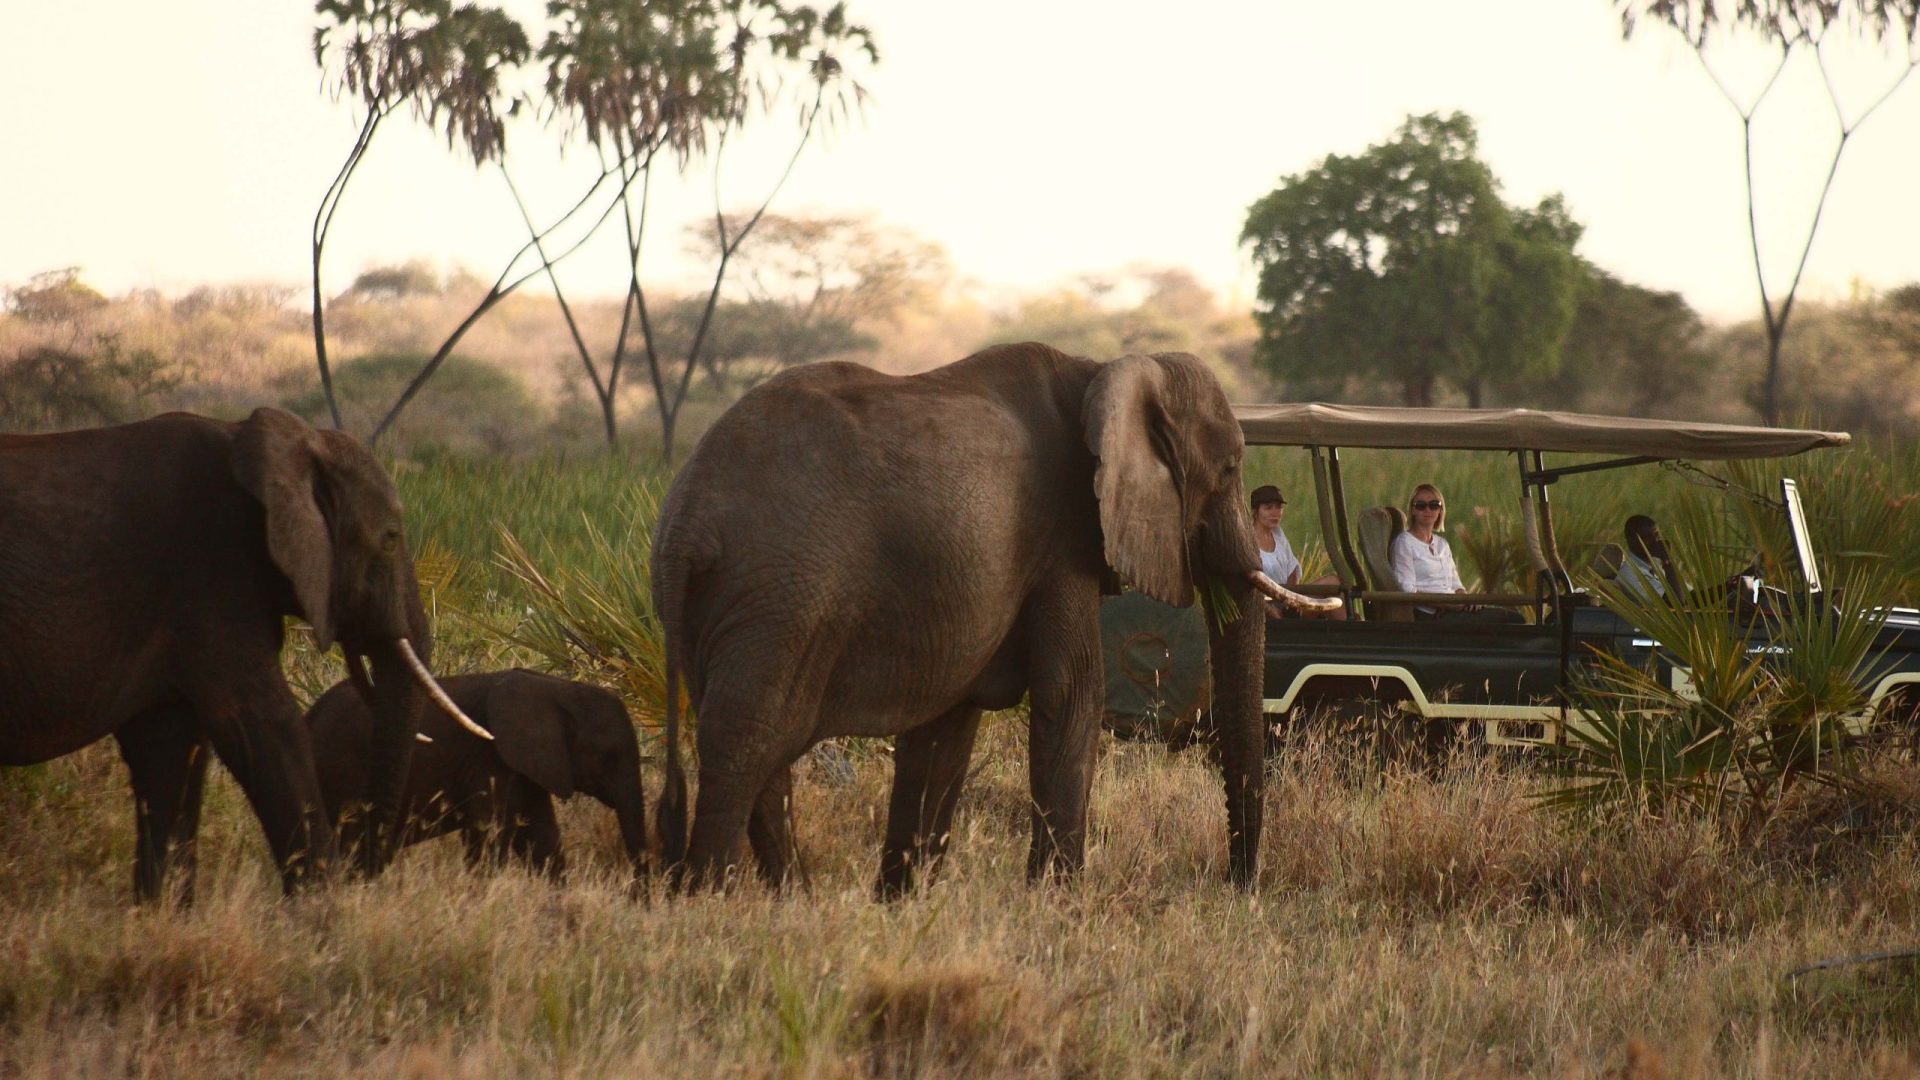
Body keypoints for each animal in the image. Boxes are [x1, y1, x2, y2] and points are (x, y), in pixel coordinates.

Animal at [0, 407, 486, 900]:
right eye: (389, 539)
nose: (363, 871)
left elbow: (169, 750)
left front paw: (162, 914)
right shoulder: (213, 576)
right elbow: (265, 730)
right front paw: (326, 915)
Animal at [304, 669, 649, 880]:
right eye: (609, 756)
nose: (641, 900)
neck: (557, 688)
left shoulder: (527, 765)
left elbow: (542, 838)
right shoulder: (490, 758)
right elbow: (488, 838)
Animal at [651, 342, 1318, 896]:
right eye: (1229, 471)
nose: (1236, 884)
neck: (1103, 370)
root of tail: (686, 519)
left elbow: (946, 729)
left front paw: (902, 905)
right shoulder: (1062, 535)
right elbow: (1072, 695)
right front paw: (1055, 907)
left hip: (725, 610)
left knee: (761, 751)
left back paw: (792, 902)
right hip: (782, 597)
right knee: (748, 739)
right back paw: (711, 903)